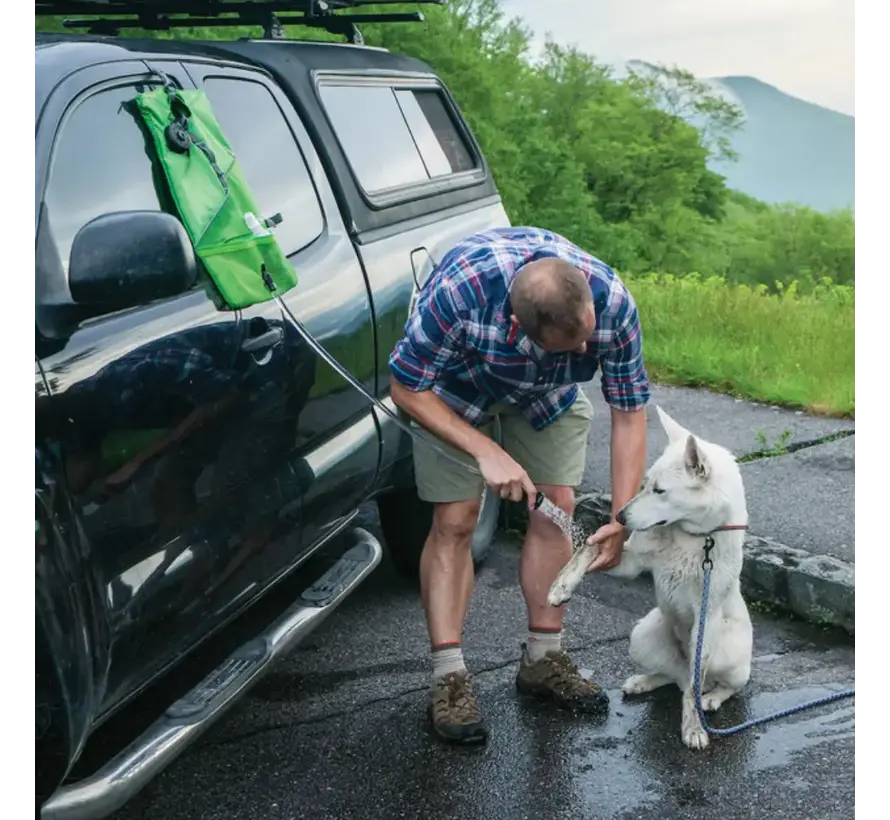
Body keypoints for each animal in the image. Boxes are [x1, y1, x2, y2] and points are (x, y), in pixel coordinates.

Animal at [548, 406, 748, 748]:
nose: (619, 516)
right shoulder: (628, 560)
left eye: (660, 491)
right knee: (675, 678)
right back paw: (644, 681)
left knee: (710, 685)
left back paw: (712, 698)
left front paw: (694, 729)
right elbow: (588, 548)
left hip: (727, 650)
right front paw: (562, 584)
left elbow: (695, 687)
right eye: (646, 483)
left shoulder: (706, 615)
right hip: (640, 637)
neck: (693, 537)